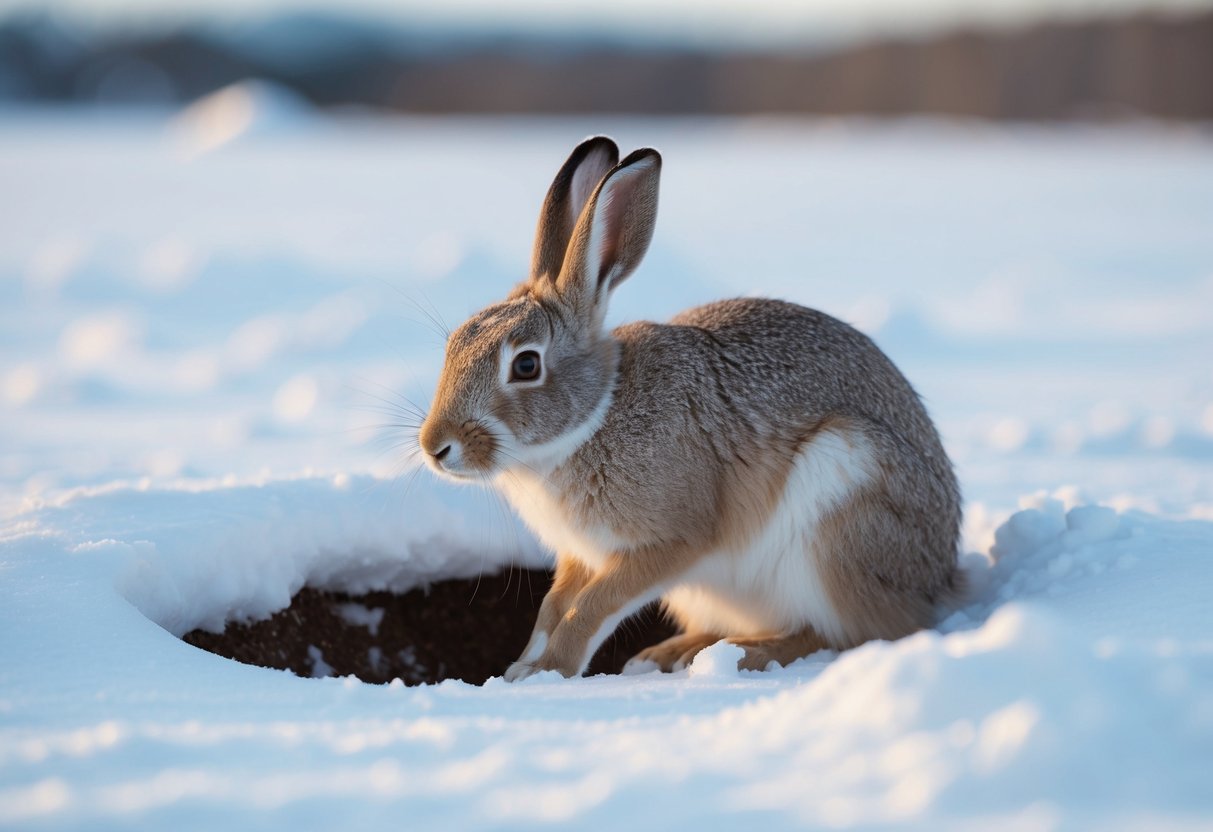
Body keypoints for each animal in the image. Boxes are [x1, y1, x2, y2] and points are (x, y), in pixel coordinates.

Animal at [418, 136, 962, 681]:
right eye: (455, 343)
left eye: (526, 364)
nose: (434, 447)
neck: (595, 418)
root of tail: (936, 576)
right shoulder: (580, 555)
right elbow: (554, 606)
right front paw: (519, 669)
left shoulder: (671, 542)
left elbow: (592, 606)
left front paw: (550, 672)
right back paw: (670, 654)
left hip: (841, 506)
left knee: (854, 633)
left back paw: (747, 654)